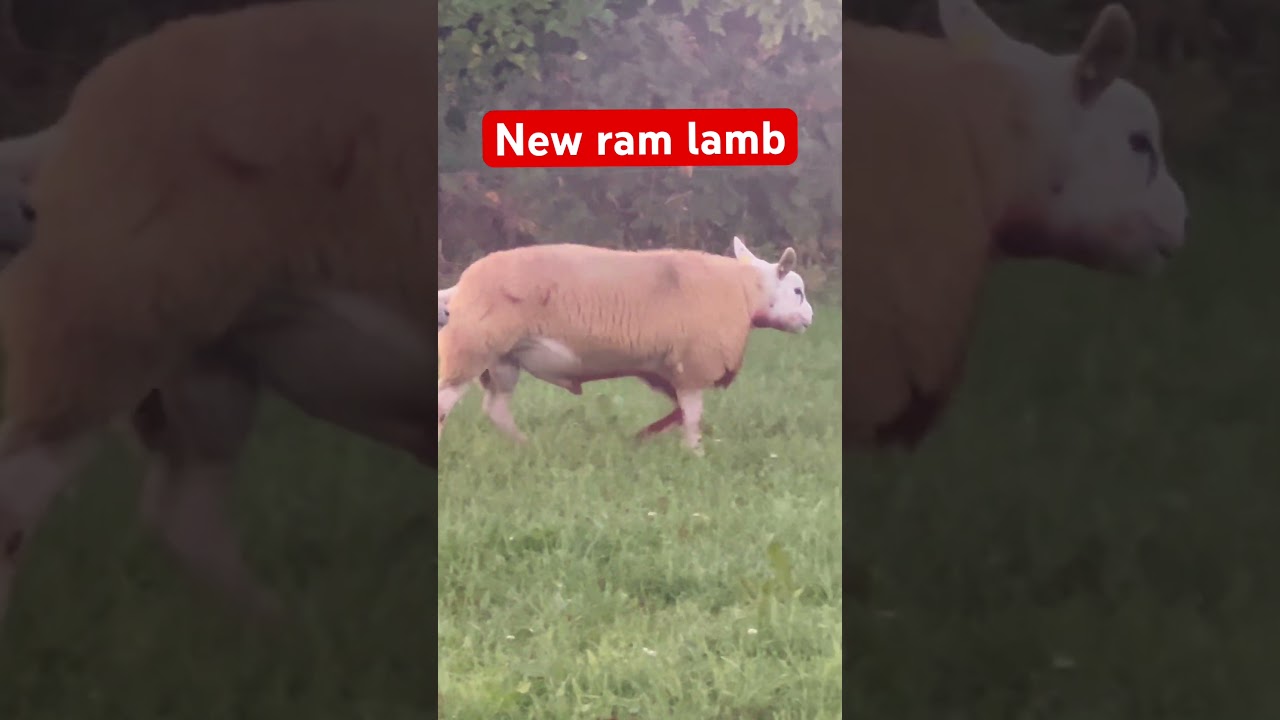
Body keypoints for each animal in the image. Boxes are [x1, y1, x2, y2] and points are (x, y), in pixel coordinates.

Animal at [0, 0, 436, 628]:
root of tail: (69, 123)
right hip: (101, 332)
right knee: (19, 497)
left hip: (203, 363)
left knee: (184, 512)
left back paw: (281, 627)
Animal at [437, 236, 814, 453]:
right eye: (797, 290)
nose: (810, 317)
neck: (745, 291)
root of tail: (458, 289)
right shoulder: (692, 365)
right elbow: (692, 415)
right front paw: (694, 454)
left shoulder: (669, 369)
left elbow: (680, 412)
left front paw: (644, 437)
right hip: (471, 347)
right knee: (444, 403)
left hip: (502, 359)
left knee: (496, 408)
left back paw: (525, 446)